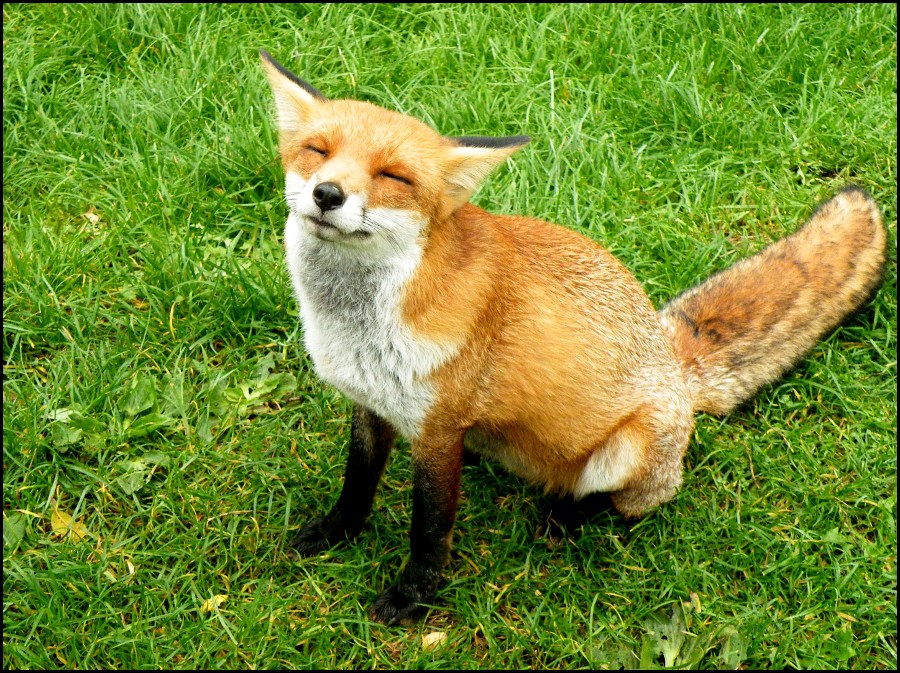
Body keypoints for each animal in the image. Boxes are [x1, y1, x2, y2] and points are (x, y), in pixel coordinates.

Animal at [259, 49, 887, 625]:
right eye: (318, 151)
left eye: (393, 176)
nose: (328, 194)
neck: (357, 321)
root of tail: (674, 362)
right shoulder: (372, 402)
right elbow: (357, 482)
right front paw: (336, 533)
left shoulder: (437, 428)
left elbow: (430, 527)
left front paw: (413, 598)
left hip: (628, 451)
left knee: (627, 499)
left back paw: (565, 516)